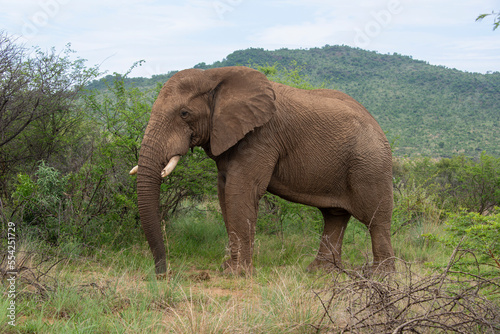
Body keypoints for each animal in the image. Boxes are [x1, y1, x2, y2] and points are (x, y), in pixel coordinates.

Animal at [131, 65, 396, 276]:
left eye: (184, 113)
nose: (163, 273)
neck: (215, 76)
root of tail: (378, 126)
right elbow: (225, 191)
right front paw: (229, 268)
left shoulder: (262, 136)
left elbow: (241, 190)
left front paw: (237, 274)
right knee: (334, 216)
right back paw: (320, 271)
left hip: (370, 163)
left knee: (376, 219)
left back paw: (380, 275)